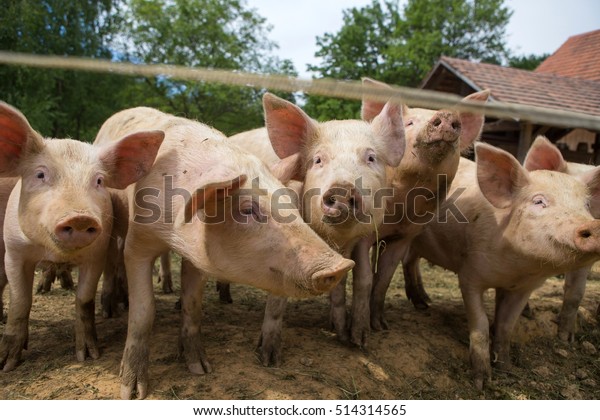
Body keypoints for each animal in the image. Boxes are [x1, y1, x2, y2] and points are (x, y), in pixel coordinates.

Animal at [0, 101, 164, 370]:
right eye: (40, 175)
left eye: (98, 181)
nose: (80, 217)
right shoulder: (14, 251)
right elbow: (20, 300)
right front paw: (7, 364)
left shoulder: (96, 254)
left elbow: (84, 299)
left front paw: (89, 355)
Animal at [92, 106, 354, 400]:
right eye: (247, 209)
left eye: (290, 202)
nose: (340, 265)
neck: (175, 232)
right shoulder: (138, 243)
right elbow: (143, 311)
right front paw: (132, 391)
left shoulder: (196, 255)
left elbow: (194, 305)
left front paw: (200, 368)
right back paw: (113, 308)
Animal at [226, 91, 408, 364]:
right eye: (318, 160)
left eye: (371, 157)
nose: (342, 188)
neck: (335, 240)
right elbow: (278, 295)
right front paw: (269, 359)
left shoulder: (361, 238)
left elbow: (359, 280)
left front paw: (353, 340)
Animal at [358, 78, 490, 334]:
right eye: (409, 123)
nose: (446, 114)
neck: (399, 210)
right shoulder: (363, 233)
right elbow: (366, 275)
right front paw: (364, 332)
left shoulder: (405, 235)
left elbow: (384, 278)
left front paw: (381, 326)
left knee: (410, 261)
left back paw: (423, 303)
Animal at [400, 143, 600, 388]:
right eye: (539, 201)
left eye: (587, 205)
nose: (594, 225)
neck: (517, 269)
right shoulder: (470, 275)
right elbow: (480, 324)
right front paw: (482, 382)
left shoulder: (523, 288)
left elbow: (507, 325)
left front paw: (505, 368)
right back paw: (421, 306)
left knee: (411, 261)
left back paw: (424, 301)